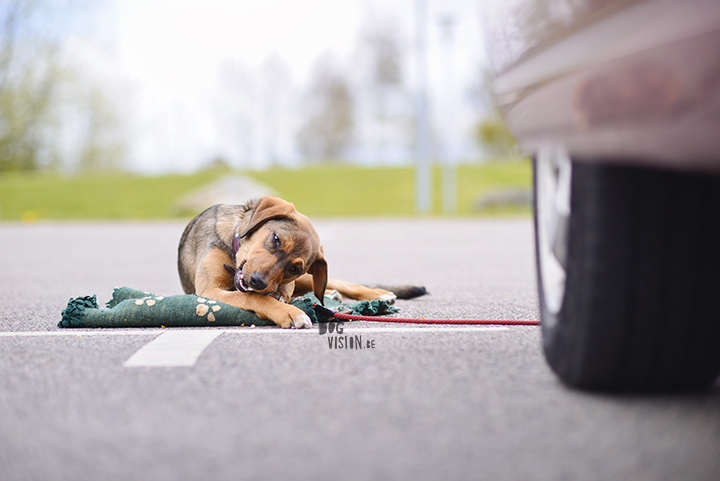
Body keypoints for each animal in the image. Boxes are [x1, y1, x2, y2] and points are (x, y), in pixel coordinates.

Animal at [176, 197, 404, 328]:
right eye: (276, 239)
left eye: (294, 268)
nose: (257, 281)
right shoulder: (209, 291)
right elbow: (255, 298)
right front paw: (290, 311)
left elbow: (266, 295)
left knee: (335, 283)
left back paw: (377, 294)